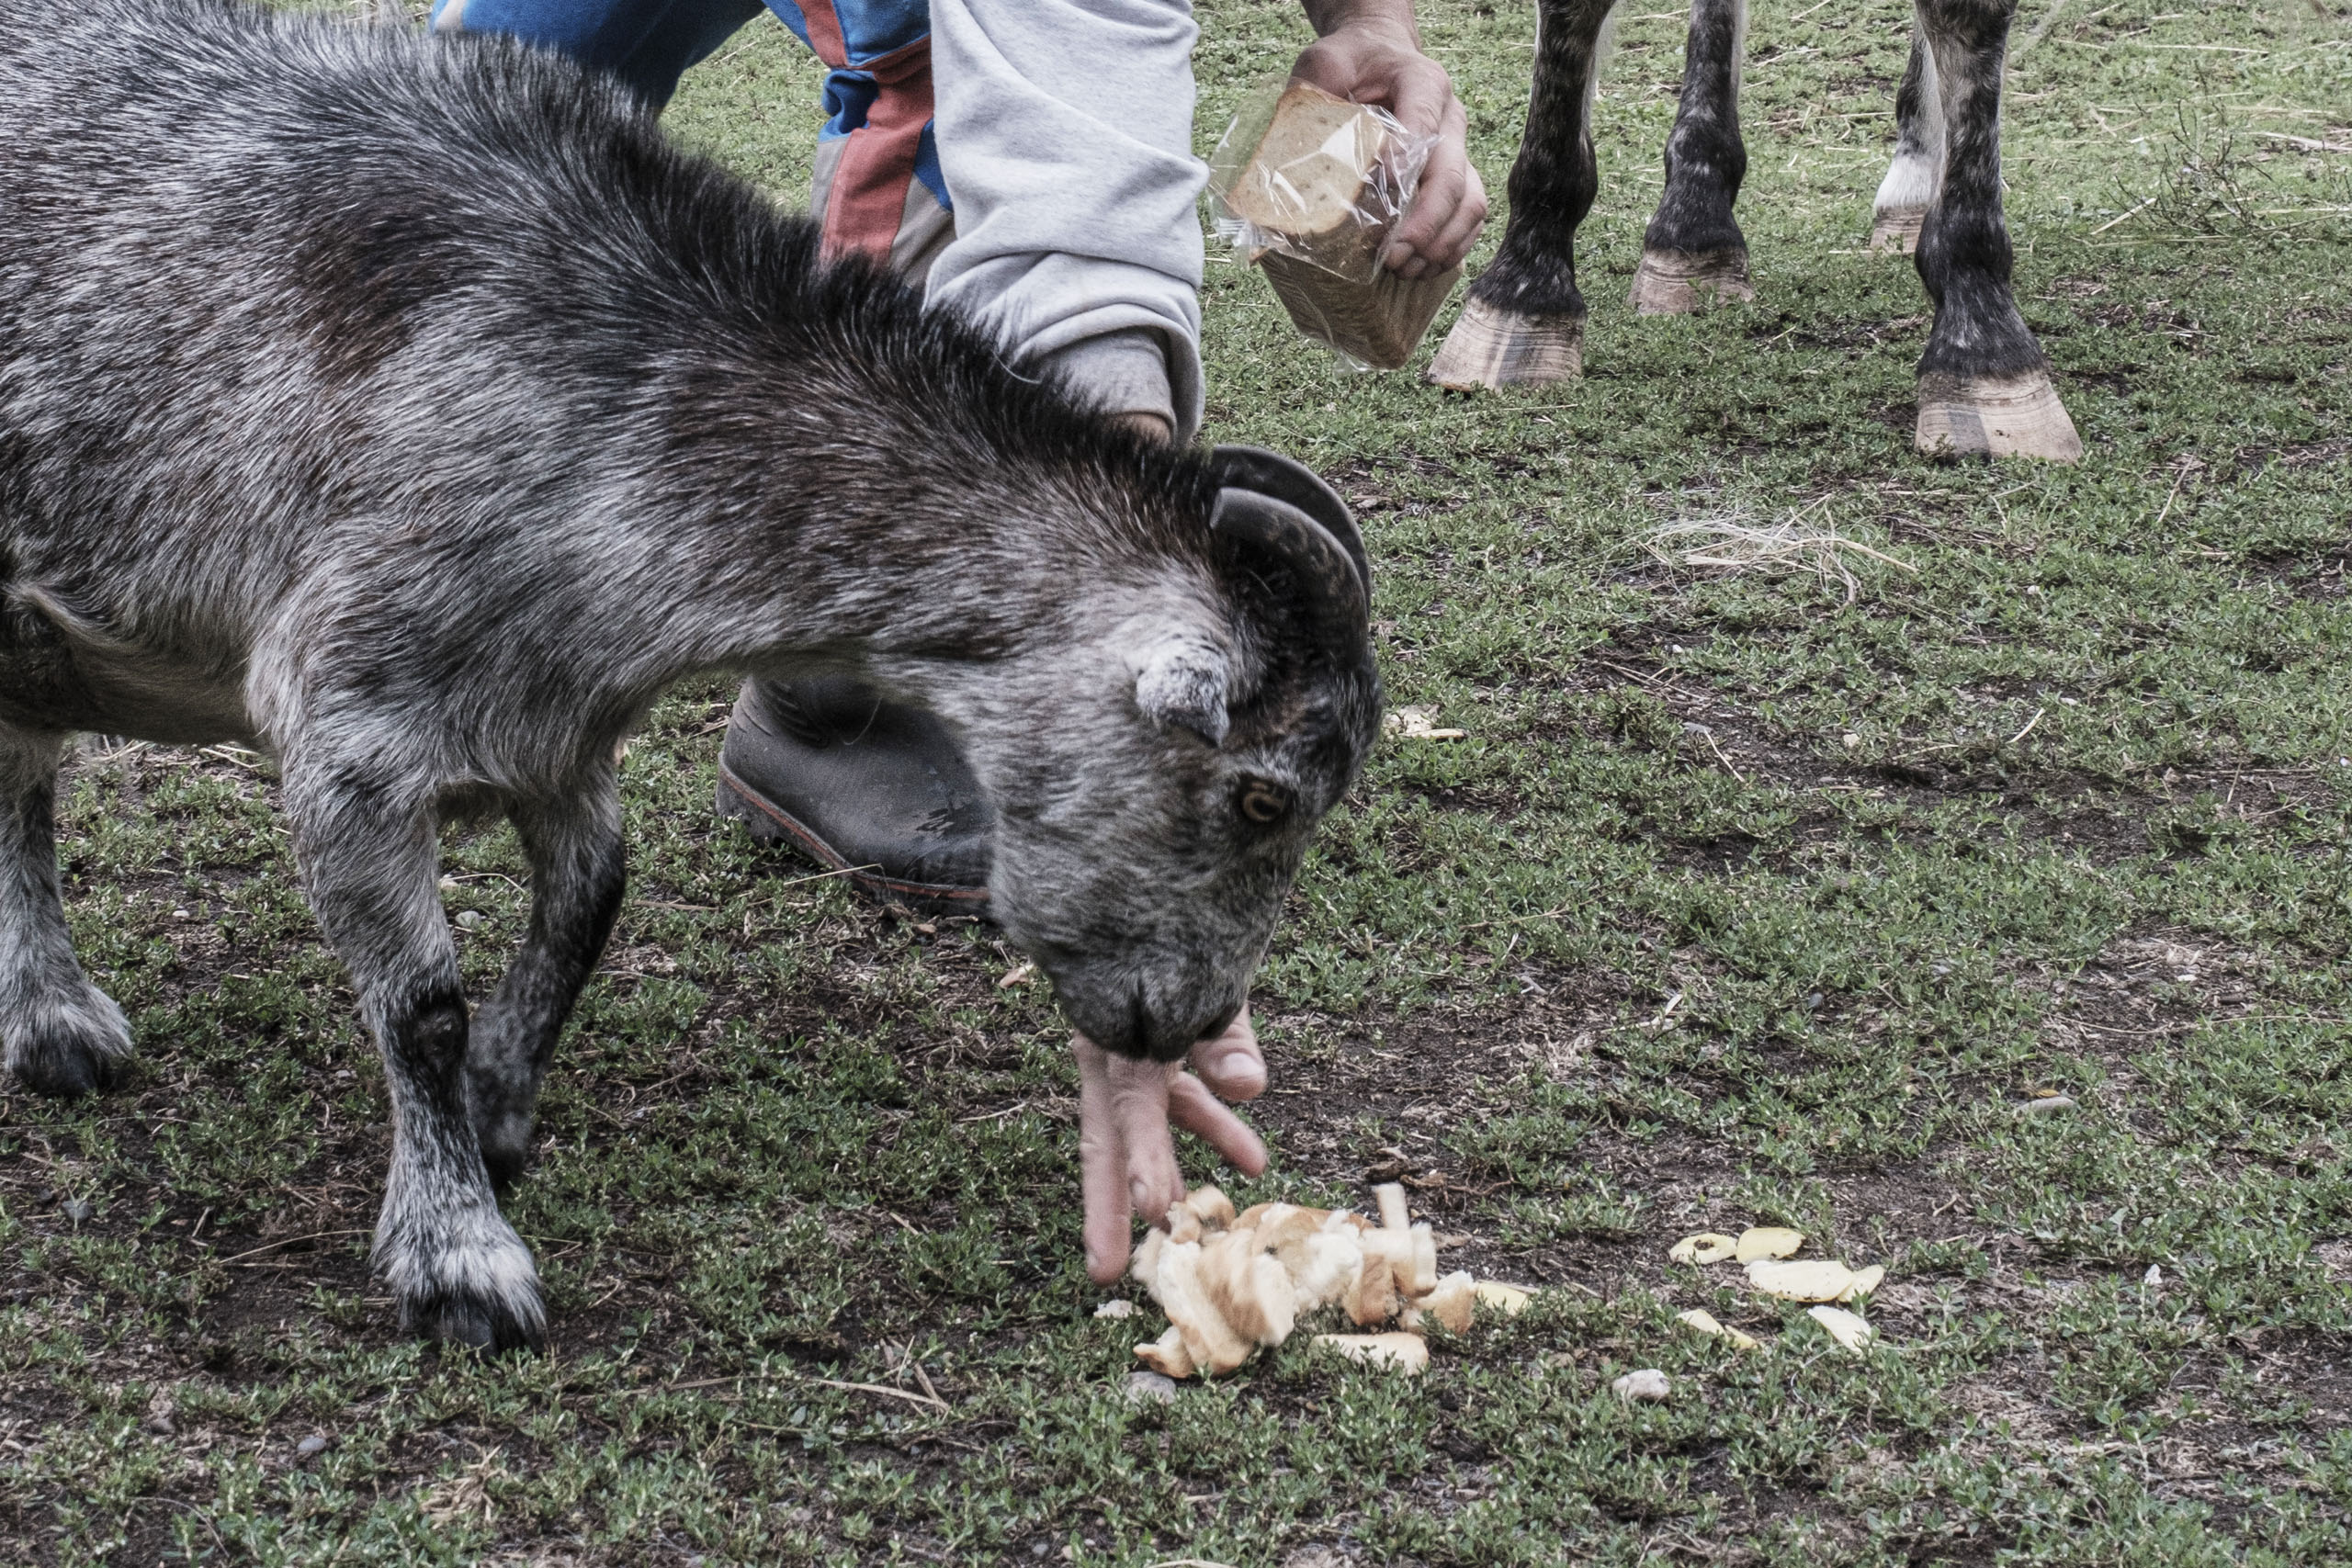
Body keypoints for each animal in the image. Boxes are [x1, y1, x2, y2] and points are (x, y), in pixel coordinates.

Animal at [0, 0, 1383, 1354]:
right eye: (1263, 795)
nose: (1190, 1023)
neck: (615, 399)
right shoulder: (351, 730)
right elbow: (422, 1004)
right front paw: (457, 1255)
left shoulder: (553, 725)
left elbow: (590, 904)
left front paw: (498, 1109)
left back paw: (47, 1016)